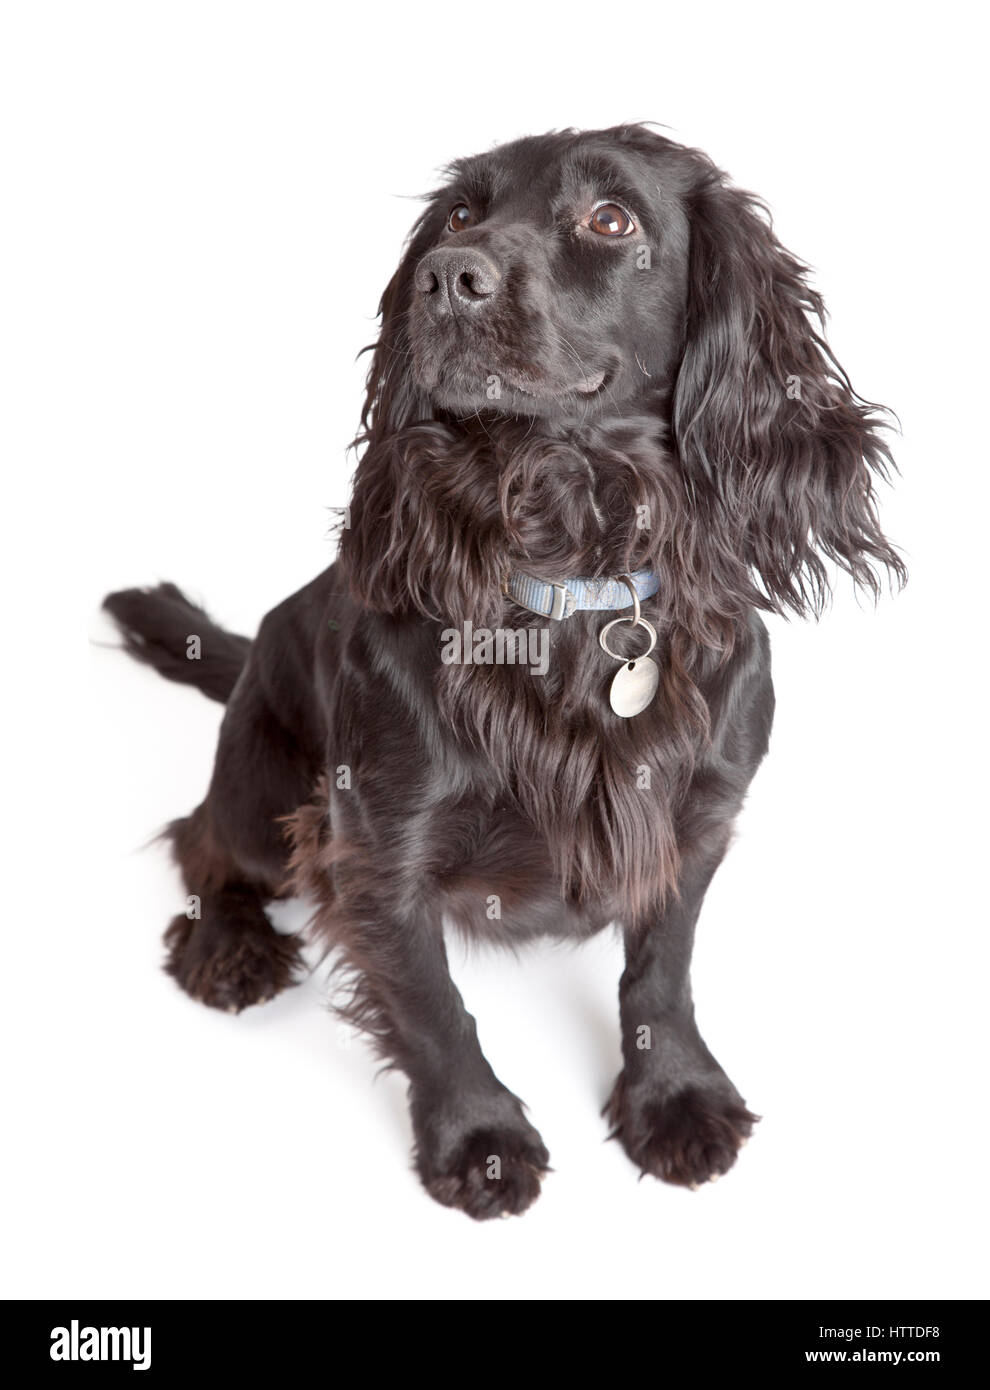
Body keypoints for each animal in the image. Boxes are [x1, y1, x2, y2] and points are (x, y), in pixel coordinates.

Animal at [106, 127, 906, 1217]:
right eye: (457, 216)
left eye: (610, 219)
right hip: (265, 791)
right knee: (201, 843)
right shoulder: (378, 842)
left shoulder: (694, 819)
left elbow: (661, 974)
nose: (448, 276)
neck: (570, 580)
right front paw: (477, 1136)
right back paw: (227, 945)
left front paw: (674, 1095)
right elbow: (431, 1004)